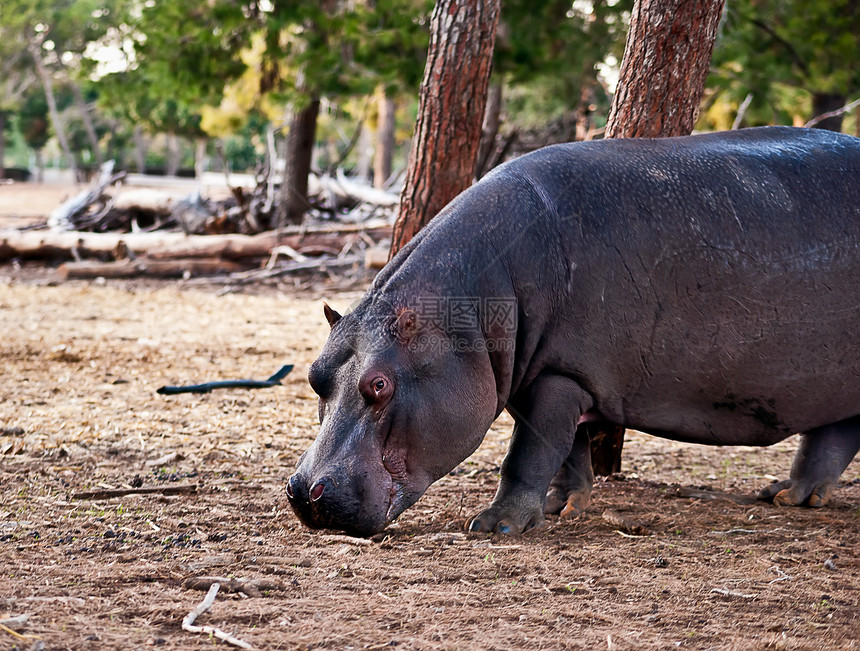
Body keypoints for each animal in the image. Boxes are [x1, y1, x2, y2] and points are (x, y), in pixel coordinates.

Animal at [288, 126, 860, 536]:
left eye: (379, 385)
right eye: (315, 376)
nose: (304, 492)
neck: (464, 309)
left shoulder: (559, 377)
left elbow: (529, 453)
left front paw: (494, 527)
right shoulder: (551, 374)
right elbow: (568, 451)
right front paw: (564, 505)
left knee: (834, 436)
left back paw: (789, 496)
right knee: (831, 439)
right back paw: (785, 495)